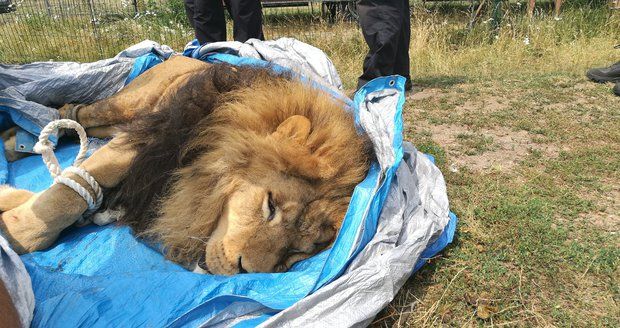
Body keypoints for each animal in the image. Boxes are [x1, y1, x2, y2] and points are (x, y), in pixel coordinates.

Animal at [0, 55, 372, 274]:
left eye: (297, 250)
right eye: (270, 205)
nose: (245, 270)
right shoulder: (148, 141)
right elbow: (65, 196)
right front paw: (18, 231)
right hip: (127, 105)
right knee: (76, 111)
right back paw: (18, 141)